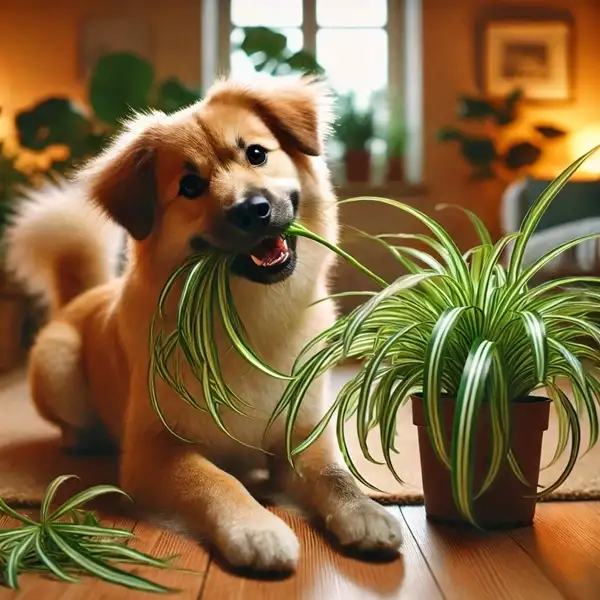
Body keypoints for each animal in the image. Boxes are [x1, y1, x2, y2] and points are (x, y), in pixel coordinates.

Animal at [5, 76, 404, 572]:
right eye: (190, 185)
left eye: (256, 153)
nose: (252, 209)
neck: (247, 318)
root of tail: (79, 300)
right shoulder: (153, 451)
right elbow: (214, 479)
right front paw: (256, 529)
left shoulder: (301, 435)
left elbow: (336, 475)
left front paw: (365, 513)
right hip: (59, 368)